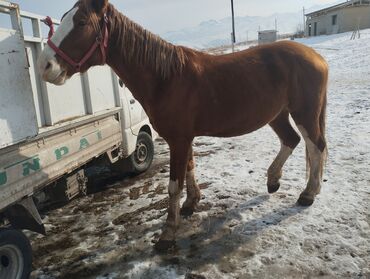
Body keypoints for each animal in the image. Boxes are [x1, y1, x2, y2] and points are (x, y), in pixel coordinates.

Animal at [38, 0, 326, 252]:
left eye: (81, 22)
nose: (45, 66)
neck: (165, 77)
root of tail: (316, 56)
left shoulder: (178, 139)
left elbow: (173, 185)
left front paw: (167, 234)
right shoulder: (184, 138)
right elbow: (189, 167)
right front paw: (191, 203)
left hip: (304, 113)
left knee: (316, 147)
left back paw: (308, 193)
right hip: (277, 115)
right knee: (291, 140)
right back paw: (273, 180)